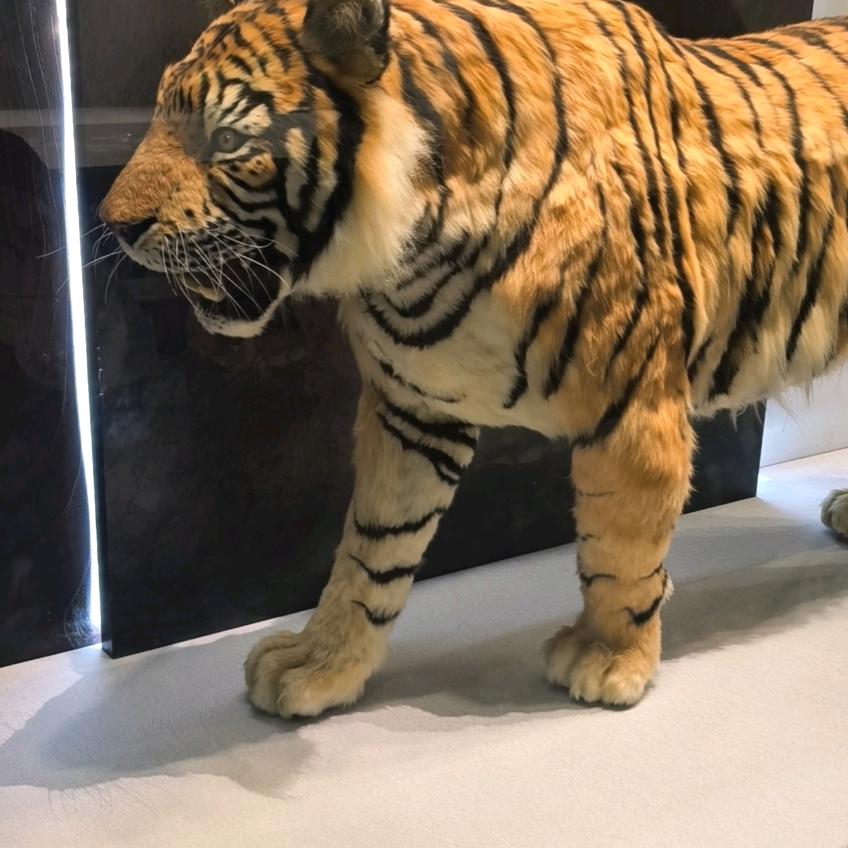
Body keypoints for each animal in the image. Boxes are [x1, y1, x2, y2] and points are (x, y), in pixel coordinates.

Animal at [100, 0, 848, 717]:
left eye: (226, 141)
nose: (115, 226)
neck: (413, 250)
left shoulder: (633, 410)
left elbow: (620, 549)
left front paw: (610, 659)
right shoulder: (411, 409)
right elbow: (372, 549)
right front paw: (321, 665)